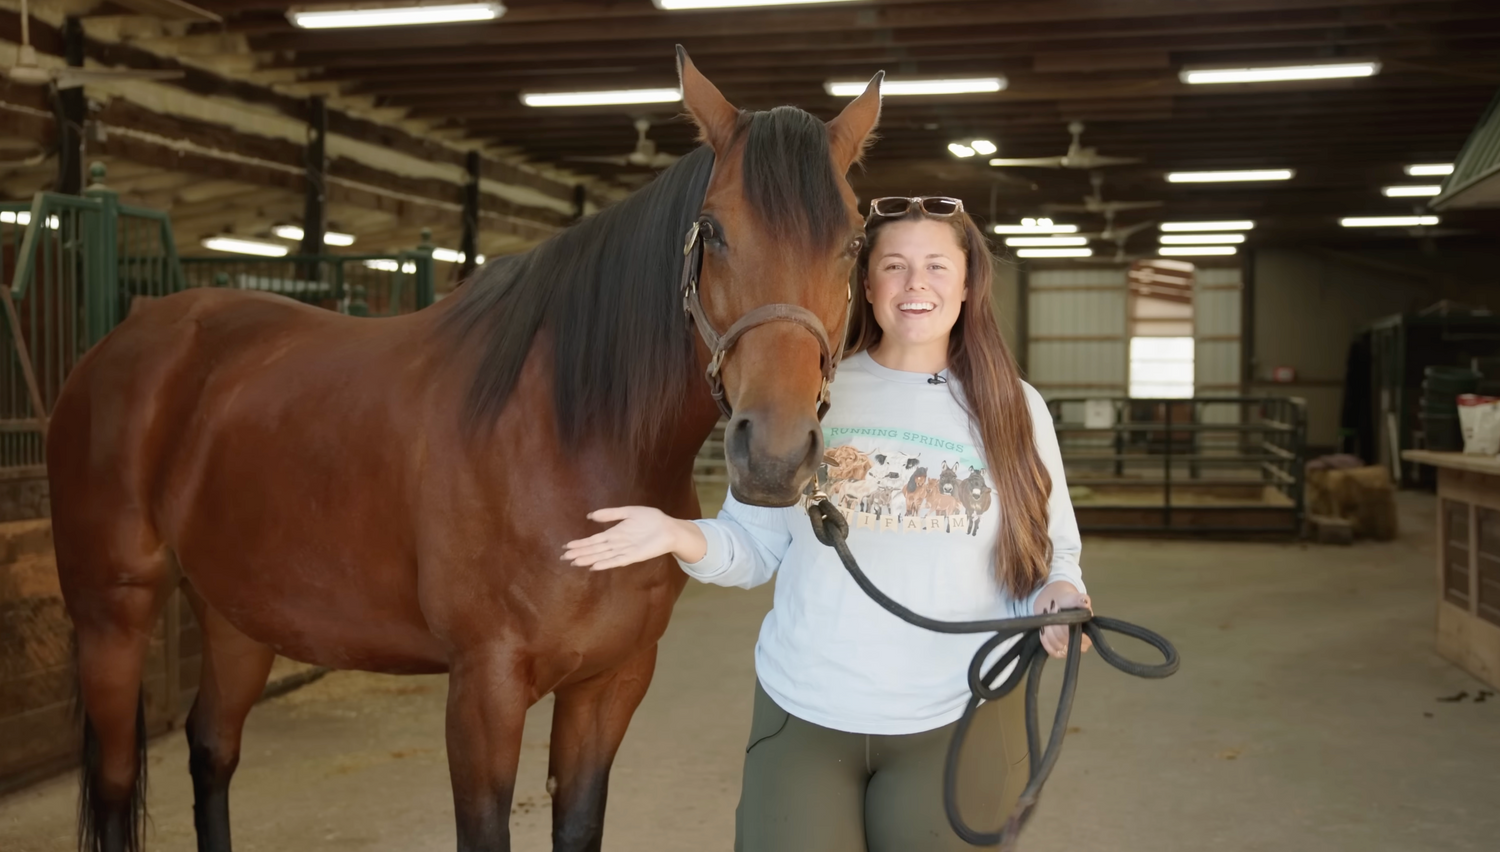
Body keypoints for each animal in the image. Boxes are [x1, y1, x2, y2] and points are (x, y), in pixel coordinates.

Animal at [46, 49, 882, 852]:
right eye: (712, 231)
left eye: (852, 244)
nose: (773, 454)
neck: (572, 440)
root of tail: (127, 338)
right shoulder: (485, 688)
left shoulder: (610, 681)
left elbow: (579, 824)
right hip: (114, 613)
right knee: (117, 782)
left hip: (236, 613)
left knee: (212, 750)